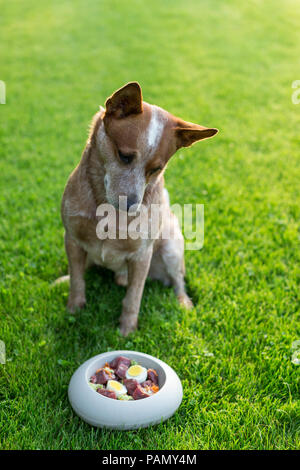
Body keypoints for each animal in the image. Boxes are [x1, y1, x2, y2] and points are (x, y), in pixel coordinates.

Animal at [59, 82, 217, 336]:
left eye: (156, 169)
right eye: (124, 156)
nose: (131, 205)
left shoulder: (142, 255)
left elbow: (133, 297)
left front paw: (127, 330)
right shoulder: (72, 237)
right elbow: (77, 280)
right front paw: (73, 309)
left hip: (172, 248)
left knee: (178, 281)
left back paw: (184, 302)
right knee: (84, 268)